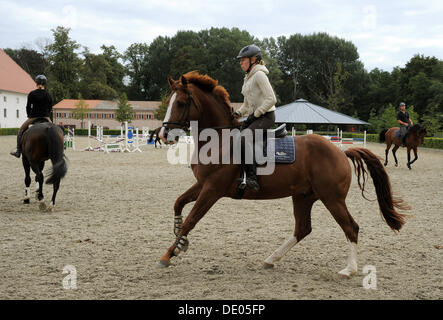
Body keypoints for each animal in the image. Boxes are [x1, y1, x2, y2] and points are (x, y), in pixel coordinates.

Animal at [158, 72, 412, 278]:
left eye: (180, 103)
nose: (163, 135)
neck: (218, 140)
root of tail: (341, 151)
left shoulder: (212, 190)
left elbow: (192, 220)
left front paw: (169, 254)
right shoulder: (202, 184)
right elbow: (178, 203)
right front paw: (179, 239)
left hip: (332, 198)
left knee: (351, 227)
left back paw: (349, 270)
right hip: (303, 197)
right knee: (303, 229)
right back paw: (271, 259)